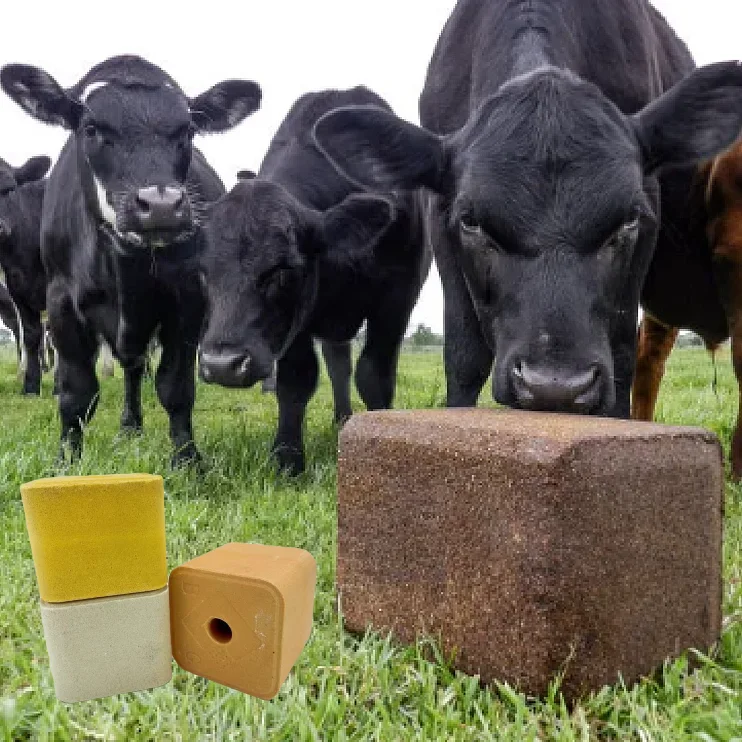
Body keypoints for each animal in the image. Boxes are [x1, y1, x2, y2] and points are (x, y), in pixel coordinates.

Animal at [1, 55, 261, 465]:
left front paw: (188, 459)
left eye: (188, 130)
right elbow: (76, 391)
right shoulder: (59, 301)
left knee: (135, 366)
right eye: (91, 128)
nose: (161, 205)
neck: (123, 267)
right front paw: (67, 459)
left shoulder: (186, 302)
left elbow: (175, 387)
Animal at [199, 87, 429, 474]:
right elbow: (296, 380)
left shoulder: (396, 300)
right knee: (338, 365)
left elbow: (375, 377)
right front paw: (287, 458)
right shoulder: (296, 323)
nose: (221, 365)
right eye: (203, 271)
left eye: (283, 269)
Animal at [312, 0, 742, 421]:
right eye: (471, 222)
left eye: (629, 219)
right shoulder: (440, 213)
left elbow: (620, 356)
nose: (556, 386)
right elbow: (464, 357)